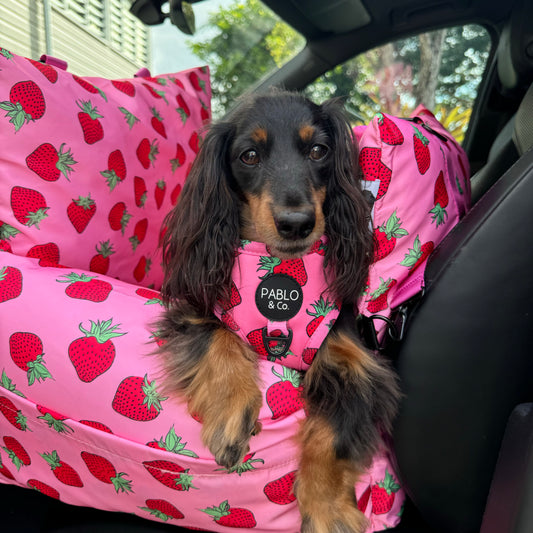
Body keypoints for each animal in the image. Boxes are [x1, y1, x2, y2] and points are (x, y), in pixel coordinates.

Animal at [157, 91, 400, 532]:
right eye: (249, 155)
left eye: (319, 150)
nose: (296, 224)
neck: (280, 274)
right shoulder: (193, 309)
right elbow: (218, 335)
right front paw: (232, 408)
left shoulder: (354, 364)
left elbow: (333, 439)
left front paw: (328, 510)